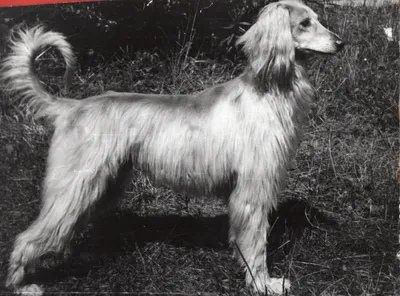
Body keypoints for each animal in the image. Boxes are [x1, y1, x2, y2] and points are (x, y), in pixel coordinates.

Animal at [0, 1, 344, 294]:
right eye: (304, 22)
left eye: (316, 18)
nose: (341, 43)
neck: (268, 91)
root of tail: (71, 107)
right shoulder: (252, 191)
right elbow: (256, 244)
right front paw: (263, 284)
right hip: (74, 184)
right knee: (27, 237)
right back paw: (21, 284)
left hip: (103, 182)